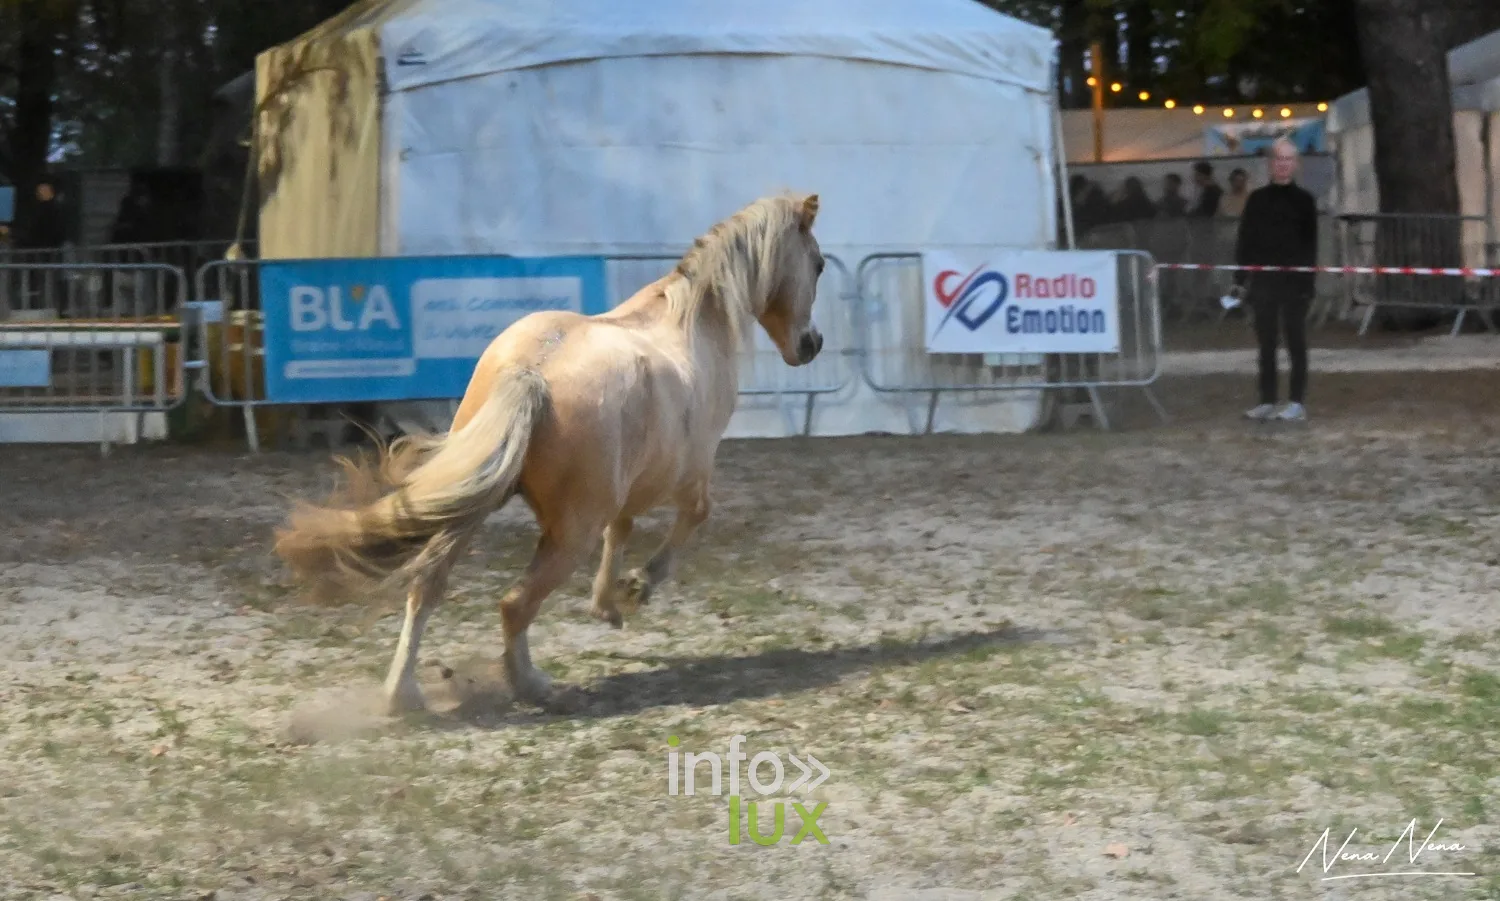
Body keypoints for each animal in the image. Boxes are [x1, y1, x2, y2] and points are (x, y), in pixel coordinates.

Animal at [273, 191, 827, 715]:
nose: (812, 343)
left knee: (426, 585)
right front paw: (638, 587)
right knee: (514, 605)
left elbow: (621, 529)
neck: (691, 320)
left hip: (474, 507)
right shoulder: (689, 473)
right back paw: (534, 686)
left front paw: (608, 604)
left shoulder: (624, 490)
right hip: (566, 533)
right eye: (819, 264)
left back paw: (401, 695)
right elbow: (691, 517)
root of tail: (531, 372)